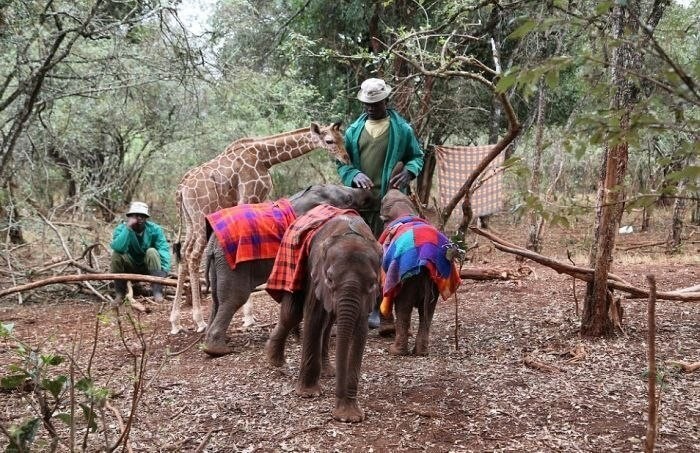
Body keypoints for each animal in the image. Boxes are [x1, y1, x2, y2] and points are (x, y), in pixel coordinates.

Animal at [171, 122, 350, 334]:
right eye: (329, 140)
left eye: (342, 138)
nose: (346, 158)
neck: (265, 156)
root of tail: (181, 189)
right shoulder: (250, 195)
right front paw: (248, 318)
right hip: (201, 215)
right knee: (193, 255)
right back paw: (199, 321)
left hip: (190, 219)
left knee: (184, 252)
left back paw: (175, 322)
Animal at [266, 207, 382, 422]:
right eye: (329, 279)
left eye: (372, 283)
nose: (338, 415)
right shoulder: (315, 271)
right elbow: (314, 317)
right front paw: (308, 394)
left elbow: (360, 331)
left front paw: (351, 416)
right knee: (292, 314)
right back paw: (274, 361)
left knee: (328, 324)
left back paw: (329, 372)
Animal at [380, 189, 462, 354]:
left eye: (383, 200)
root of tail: (425, 261)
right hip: (436, 278)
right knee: (427, 310)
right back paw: (421, 351)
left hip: (409, 278)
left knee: (404, 307)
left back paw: (396, 351)